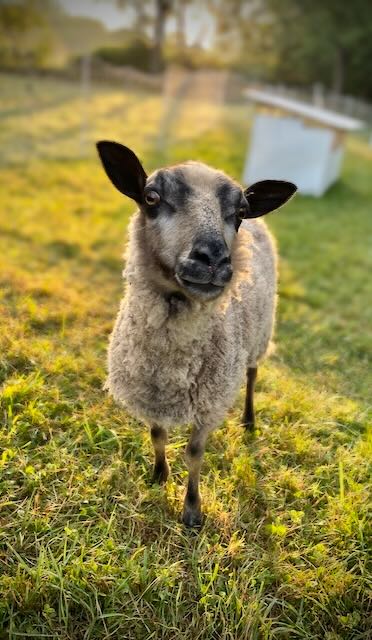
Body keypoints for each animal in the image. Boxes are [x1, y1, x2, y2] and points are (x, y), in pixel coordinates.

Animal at [96, 142, 296, 528]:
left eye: (239, 212)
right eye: (151, 197)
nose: (214, 259)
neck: (171, 365)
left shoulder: (209, 403)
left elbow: (194, 453)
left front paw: (191, 510)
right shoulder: (152, 395)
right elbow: (157, 435)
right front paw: (159, 476)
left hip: (260, 334)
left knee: (252, 375)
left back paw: (249, 421)